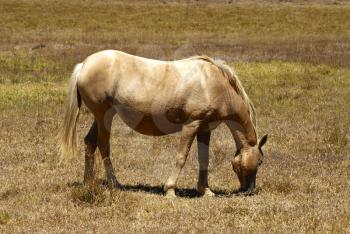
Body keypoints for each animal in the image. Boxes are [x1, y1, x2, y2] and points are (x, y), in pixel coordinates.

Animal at [59, 50, 268, 197]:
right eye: (260, 161)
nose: (249, 190)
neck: (213, 83)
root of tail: (84, 64)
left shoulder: (204, 128)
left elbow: (204, 159)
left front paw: (205, 190)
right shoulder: (191, 125)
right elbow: (181, 157)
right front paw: (170, 190)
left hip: (100, 117)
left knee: (90, 142)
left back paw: (88, 183)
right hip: (104, 116)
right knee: (103, 145)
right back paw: (114, 183)